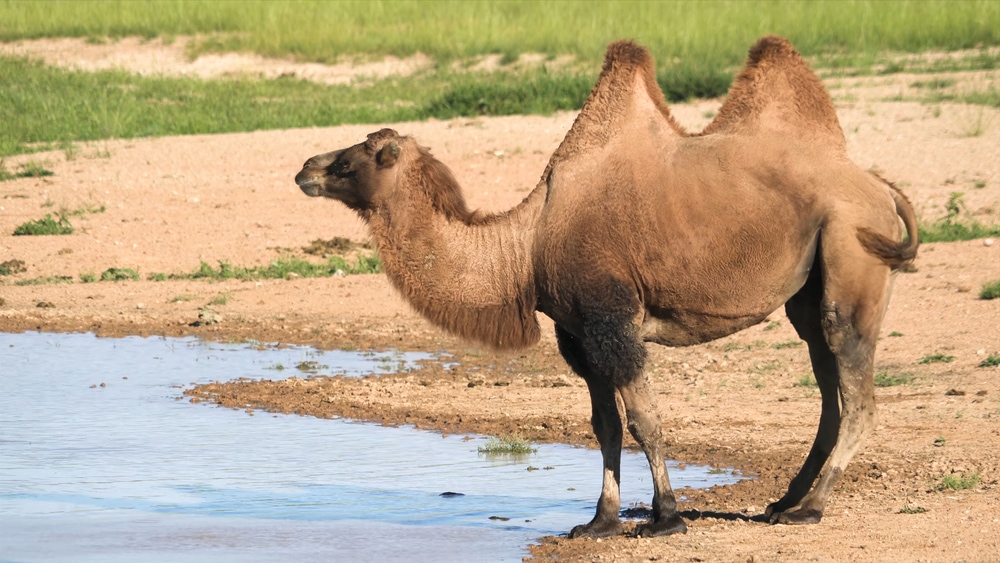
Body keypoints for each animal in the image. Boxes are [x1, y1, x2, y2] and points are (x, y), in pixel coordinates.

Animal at [295, 36, 918, 538]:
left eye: (354, 159)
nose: (305, 168)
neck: (526, 247)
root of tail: (882, 189)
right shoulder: (576, 331)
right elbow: (605, 426)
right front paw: (599, 521)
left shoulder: (612, 319)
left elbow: (644, 420)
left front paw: (666, 518)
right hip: (809, 288)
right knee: (828, 383)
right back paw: (783, 501)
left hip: (850, 252)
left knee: (856, 390)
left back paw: (809, 508)